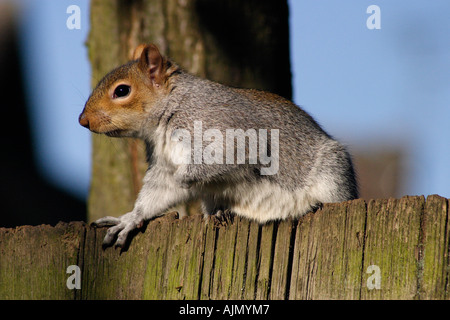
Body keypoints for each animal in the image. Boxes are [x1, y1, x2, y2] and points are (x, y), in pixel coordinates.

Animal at [78, 43, 358, 248]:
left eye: (122, 91)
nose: (83, 121)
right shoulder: (163, 162)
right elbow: (158, 192)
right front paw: (130, 218)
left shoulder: (230, 132)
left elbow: (224, 158)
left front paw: (185, 178)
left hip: (332, 175)